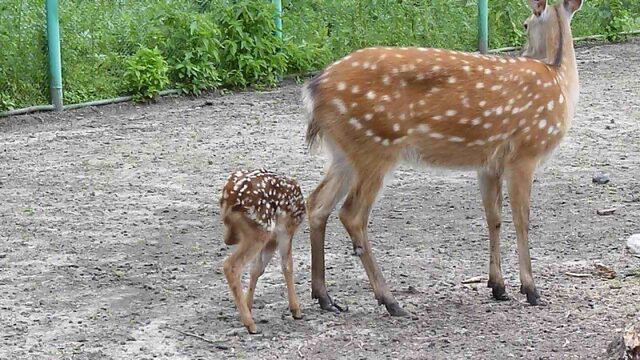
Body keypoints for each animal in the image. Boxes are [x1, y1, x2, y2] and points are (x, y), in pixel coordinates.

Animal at [302, 0, 584, 316]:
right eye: (526, 24)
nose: (525, 52)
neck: (559, 79)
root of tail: (313, 91)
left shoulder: (488, 163)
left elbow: (493, 217)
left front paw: (498, 287)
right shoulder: (524, 152)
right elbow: (521, 219)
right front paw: (531, 290)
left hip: (344, 152)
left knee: (317, 203)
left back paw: (325, 297)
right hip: (375, 146)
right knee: (351, 214)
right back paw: (390, 300)